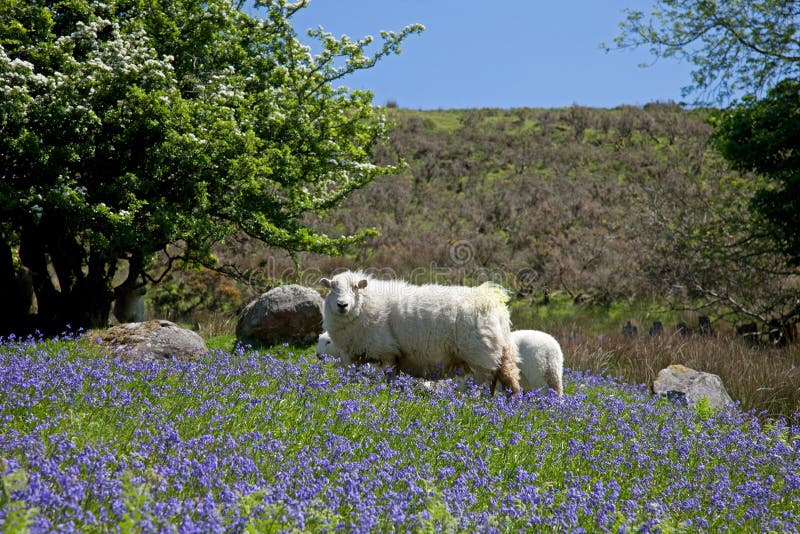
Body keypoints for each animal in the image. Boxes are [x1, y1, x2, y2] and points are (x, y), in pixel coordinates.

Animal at [318, 272, 524, 394]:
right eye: (333, 287)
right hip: (503, 355)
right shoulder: (351, 354)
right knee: (508, 383)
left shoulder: (386, 351)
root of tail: (493, 302)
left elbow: (389, 377)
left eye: (355, 288)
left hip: (481, 357)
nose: (342, 305)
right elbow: (351, 376)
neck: (365, 303)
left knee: (485, 385)